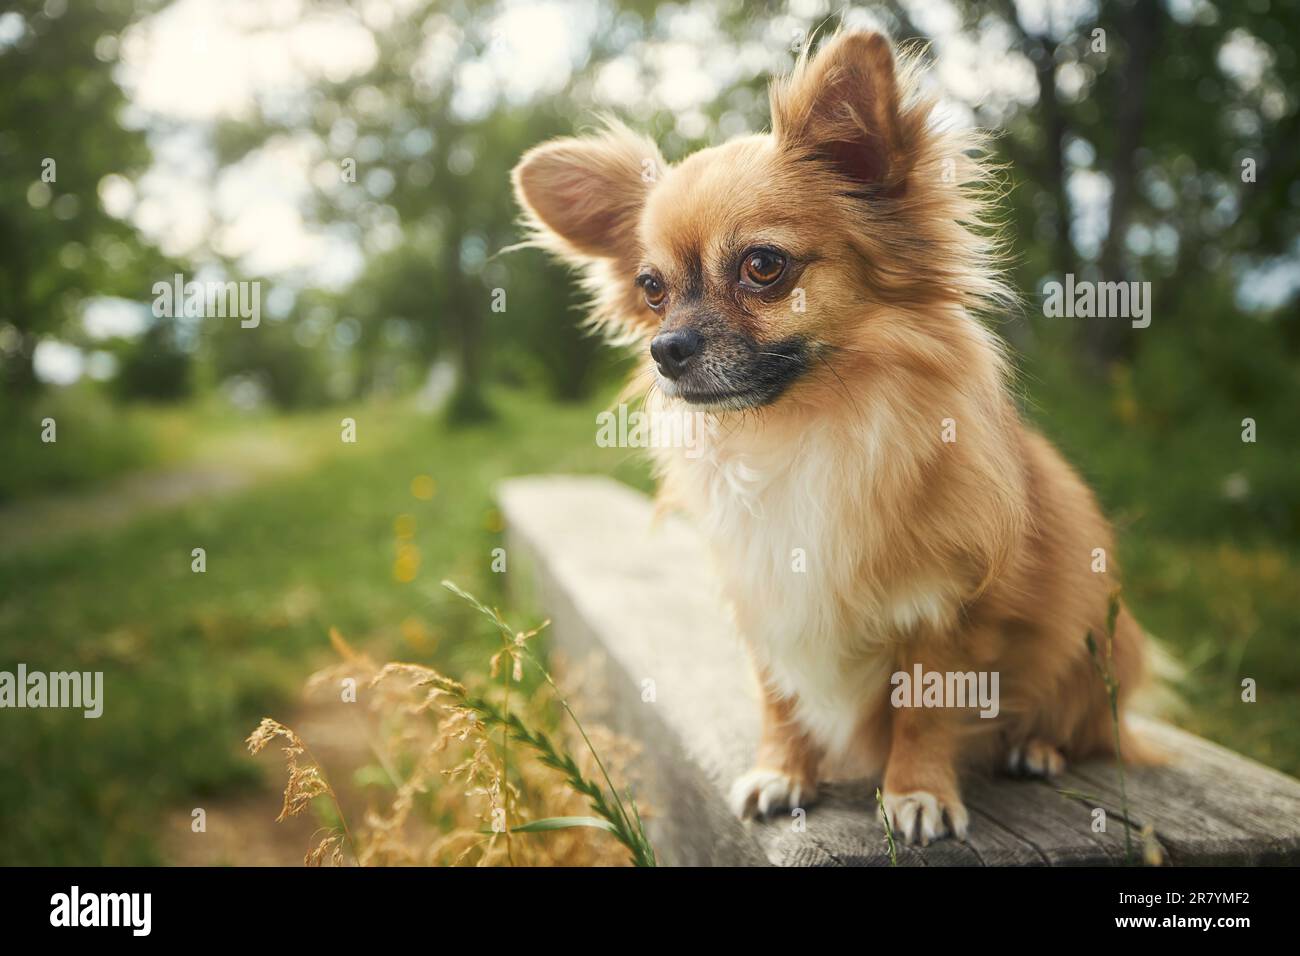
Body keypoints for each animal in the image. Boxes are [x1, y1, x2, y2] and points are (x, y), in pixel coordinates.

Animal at [512, 27, 1154, 842]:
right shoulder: (763, 597)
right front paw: (784, 772)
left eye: (762, 266)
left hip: (1096, 641)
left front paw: (917, 790)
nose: (666, 349)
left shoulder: (952, 610)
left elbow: (925, 709)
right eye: (652, 290)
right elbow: (779, 695)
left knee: (1091, 723)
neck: (801, 427)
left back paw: (1037, 747)